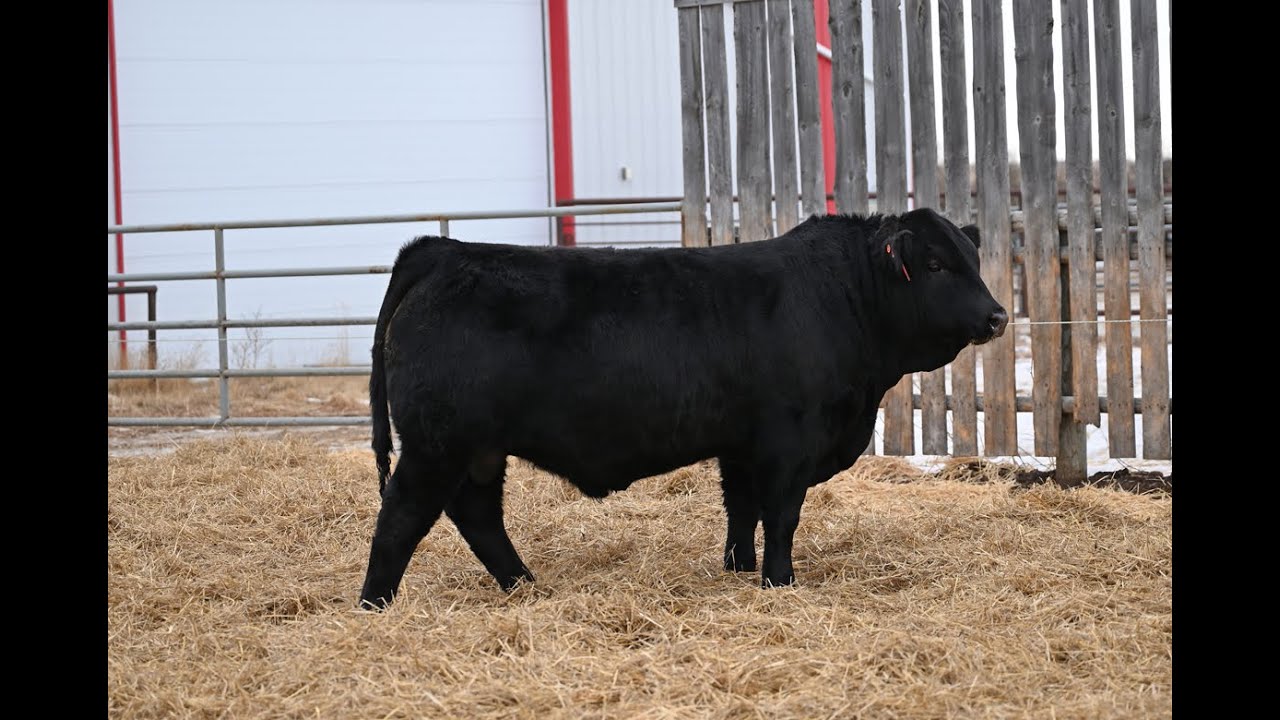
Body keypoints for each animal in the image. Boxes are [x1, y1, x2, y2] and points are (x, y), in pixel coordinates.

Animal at [359, 208, 1007, 608]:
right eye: (934, 264)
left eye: (973, 260)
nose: (998, 316)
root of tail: (444, 250)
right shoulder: (789, 442)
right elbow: (781, 516)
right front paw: (780, 583)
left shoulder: (741, 445)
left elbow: (741, 510)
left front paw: (739, 570)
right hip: (438, 444)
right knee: (402, 517)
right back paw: (375, 604)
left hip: (479, 451)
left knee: (477, 515)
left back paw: (524, 586)